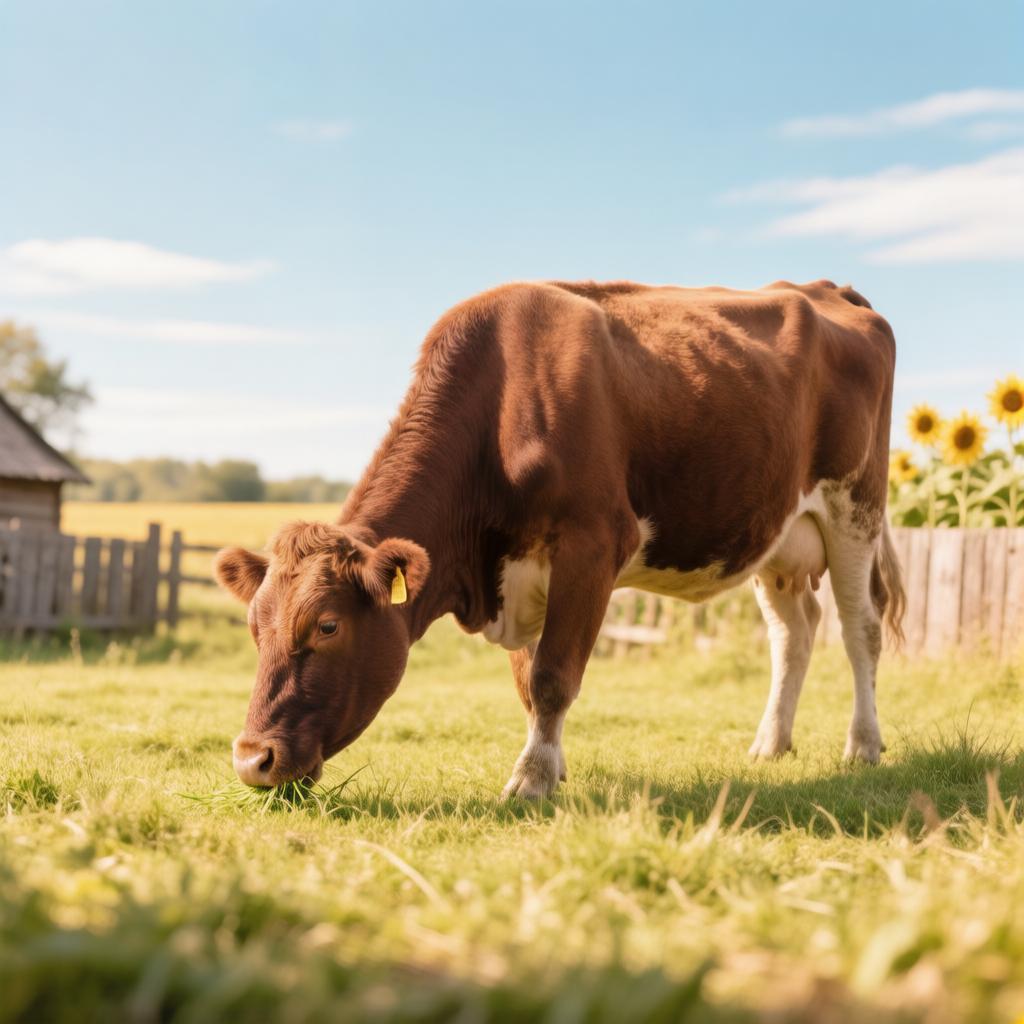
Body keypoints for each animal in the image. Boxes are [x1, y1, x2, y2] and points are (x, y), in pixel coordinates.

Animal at [215, 279, 905, 798]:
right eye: (253, 628)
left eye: (327, 626)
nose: (252, 760)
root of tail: (825, 289)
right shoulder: (520, 573)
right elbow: (529, 684)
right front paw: (552, 765)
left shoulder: (592, 546)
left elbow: (552, 676)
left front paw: (532, 780)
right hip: (777, 533)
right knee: (796, 631)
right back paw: (770, 743)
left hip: (855, 507)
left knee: (860, 627)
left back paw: (863, 744)